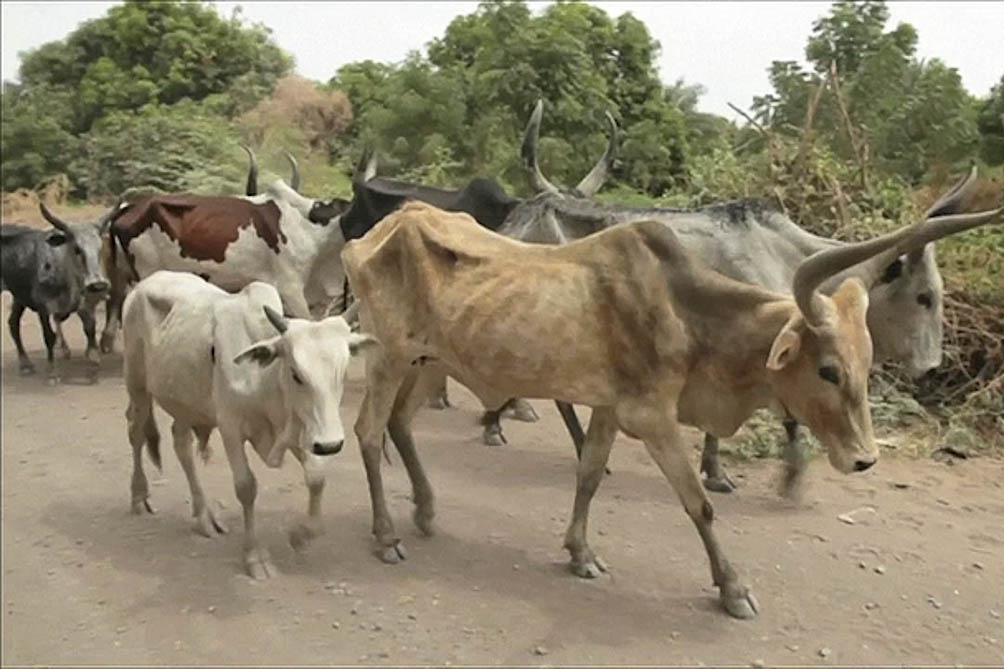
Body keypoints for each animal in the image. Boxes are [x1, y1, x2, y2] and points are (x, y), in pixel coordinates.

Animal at [341, 198, 999, 618]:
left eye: (865, 365)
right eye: (828, 369)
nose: (863, 459)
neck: (688, 314)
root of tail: (378, 230)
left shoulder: (610, 409)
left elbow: (588, 474)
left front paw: (580, 553)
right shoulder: (654, 420)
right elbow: (700, 504)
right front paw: (732, 589)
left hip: (429, 363)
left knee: (398, 425)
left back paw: (426, 511)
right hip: (389, 357)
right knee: (369, 432)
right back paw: (385, 535)